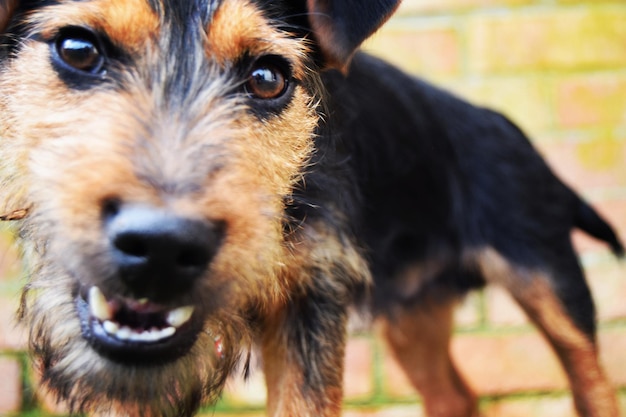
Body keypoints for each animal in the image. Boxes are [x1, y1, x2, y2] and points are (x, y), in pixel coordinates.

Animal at [0, 0, 620, 416]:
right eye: (78, 49)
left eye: (267, 78)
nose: (163, 248)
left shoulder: (312, 295)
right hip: (413, 320)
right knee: (456, 396)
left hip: (550, 279)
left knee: (594, 382)